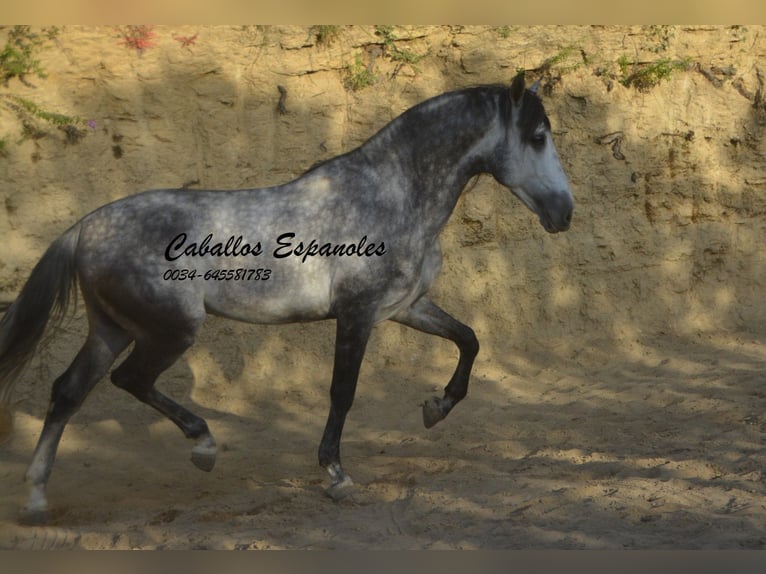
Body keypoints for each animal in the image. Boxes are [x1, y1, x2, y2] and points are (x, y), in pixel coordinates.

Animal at [0, 73, 572, 528]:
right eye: (537, 137)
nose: (564, 212)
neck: (391, 195)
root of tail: (85, 228)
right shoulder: (357, 314)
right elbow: (342, 392)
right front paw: (336, 475)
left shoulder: (404, 307)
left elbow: (468, 339)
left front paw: (436, 408)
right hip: (170, 329)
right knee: (129, 380)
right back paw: (203, 448)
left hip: (112, 328)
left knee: (68, 392)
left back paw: (36, 501)